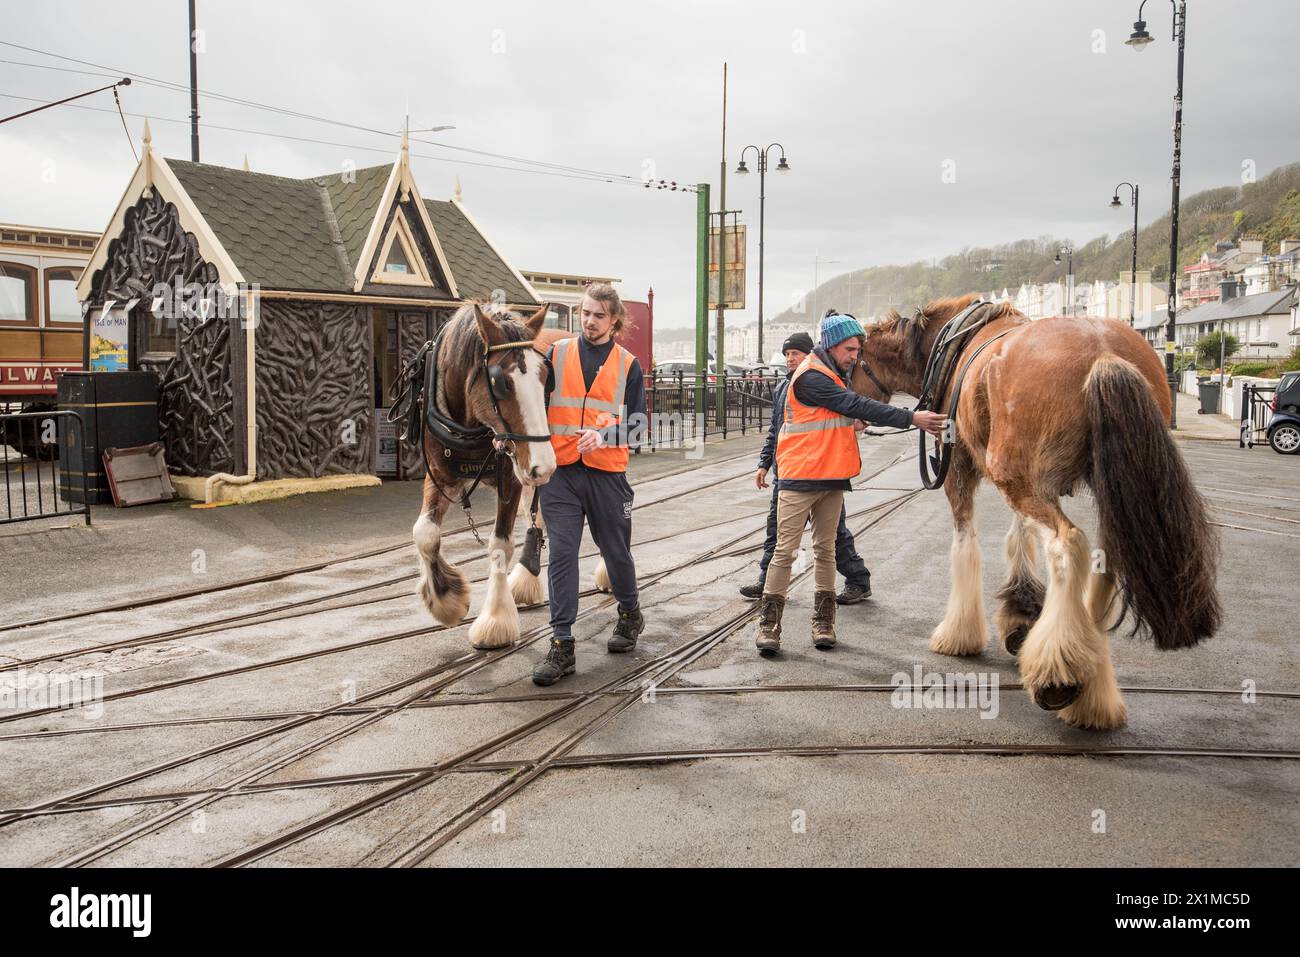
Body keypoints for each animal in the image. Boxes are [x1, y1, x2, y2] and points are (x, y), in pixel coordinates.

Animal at [403, 304, 572, 650]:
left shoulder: (512, 477)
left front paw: (495, 621)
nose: (545, 465)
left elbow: (499, 544)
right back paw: (526, 580)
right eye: (500, 382)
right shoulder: (439, 473)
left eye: (546, 377)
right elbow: (425, 533)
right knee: (538, 515)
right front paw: (446, 600)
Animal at [852, 295, 1216, 728]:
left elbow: (966, 545)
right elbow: (1019, 534)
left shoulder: (963, 468)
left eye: (850, 362)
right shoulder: (1022, 477)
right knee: (1107, 559)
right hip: (1098, 482)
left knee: (1068, 545)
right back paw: (1091, 689)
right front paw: (1022, 611)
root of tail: (1104, 351)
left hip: (1017, 476)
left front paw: (960, 633)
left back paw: (1059, 672)